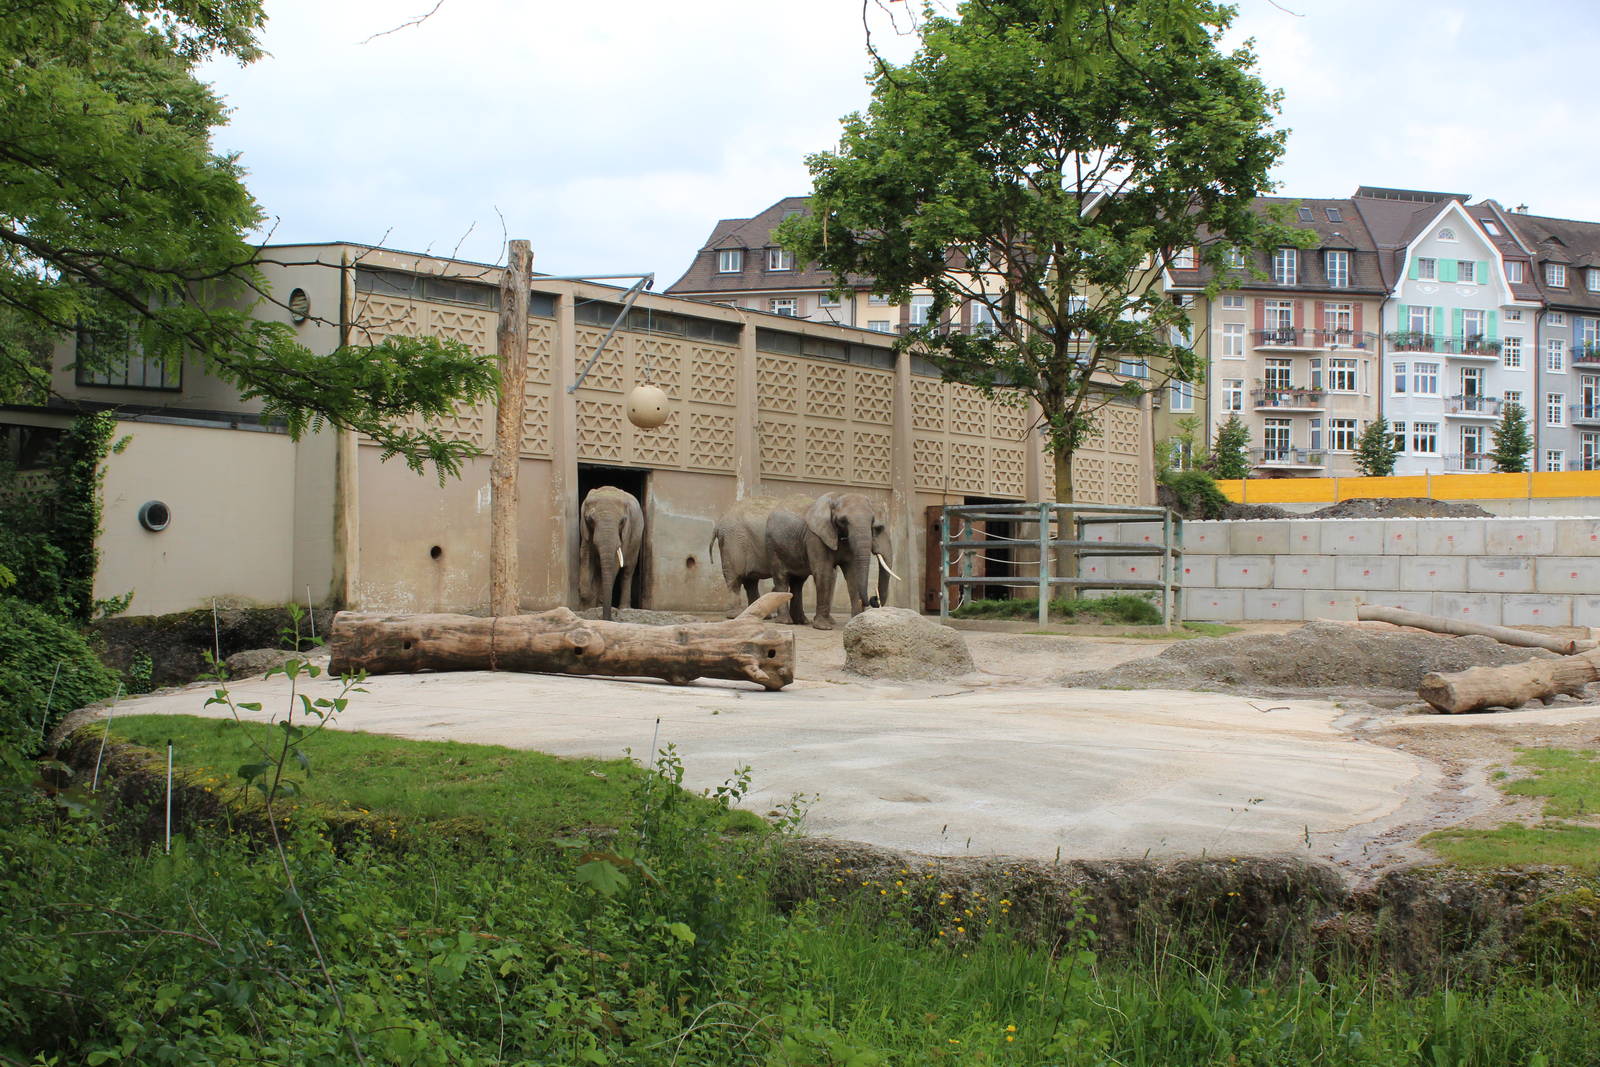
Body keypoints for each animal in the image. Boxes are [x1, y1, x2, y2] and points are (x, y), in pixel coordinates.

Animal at [579, 486, 644, 621]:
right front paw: (586, 607)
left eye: (622, 521)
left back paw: (624, 608)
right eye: (590, 519)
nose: (608, 619)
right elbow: (585, 556)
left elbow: (615, 564)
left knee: (628, 571)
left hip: (636, 541)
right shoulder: (585, 530)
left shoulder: (626, 533)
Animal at [797, 491, 897, 630]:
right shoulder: (816, 536)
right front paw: (823, 627)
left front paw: (857, 622)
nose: (873, 599)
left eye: (872, 522)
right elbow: (823, 572)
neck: (837, 496)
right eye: (843, 521)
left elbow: (853, 574)